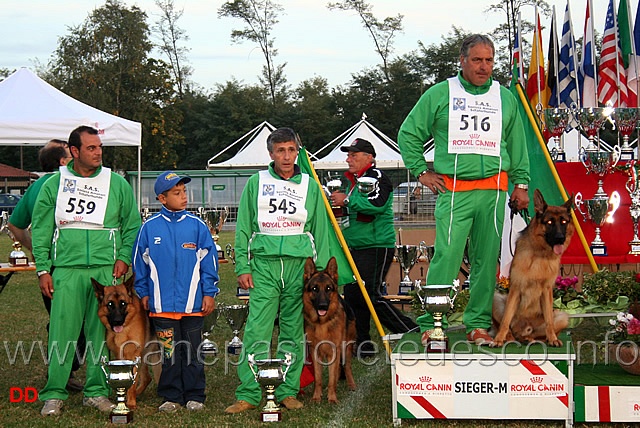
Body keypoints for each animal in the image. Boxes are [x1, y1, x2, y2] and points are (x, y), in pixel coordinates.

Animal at [92, 276, 160, 410]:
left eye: (123, 303)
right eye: (110, 304)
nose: (118, 321)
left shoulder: (133, 356)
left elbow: (132, 382)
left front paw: (131, 403)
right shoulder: (120, 356)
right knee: (147, 378)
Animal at [304, 256, 358, 402]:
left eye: (328, 288)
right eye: (315, 288)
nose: (322, 306)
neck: (322, 323)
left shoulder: (335, 350)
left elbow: (332, 378)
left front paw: (332, 398)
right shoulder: (315, 351)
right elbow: (318, 379)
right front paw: (316, 397)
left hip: (346, 348)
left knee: (347, 366)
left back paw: (351, 384)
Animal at [490, 191, 576, 348]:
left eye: (564, 222)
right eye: (549, 222)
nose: (560, 238)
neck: (539, 255)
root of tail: (524, 328)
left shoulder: (547, 291)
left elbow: (549, 321)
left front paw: (553, 339)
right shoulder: (516, 289)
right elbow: (505, 320)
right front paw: (498, 339)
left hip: (562, 316)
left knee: (540, 332)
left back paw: (532, 339)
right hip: (496, 299)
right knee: (509, 328)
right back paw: (507, 338)